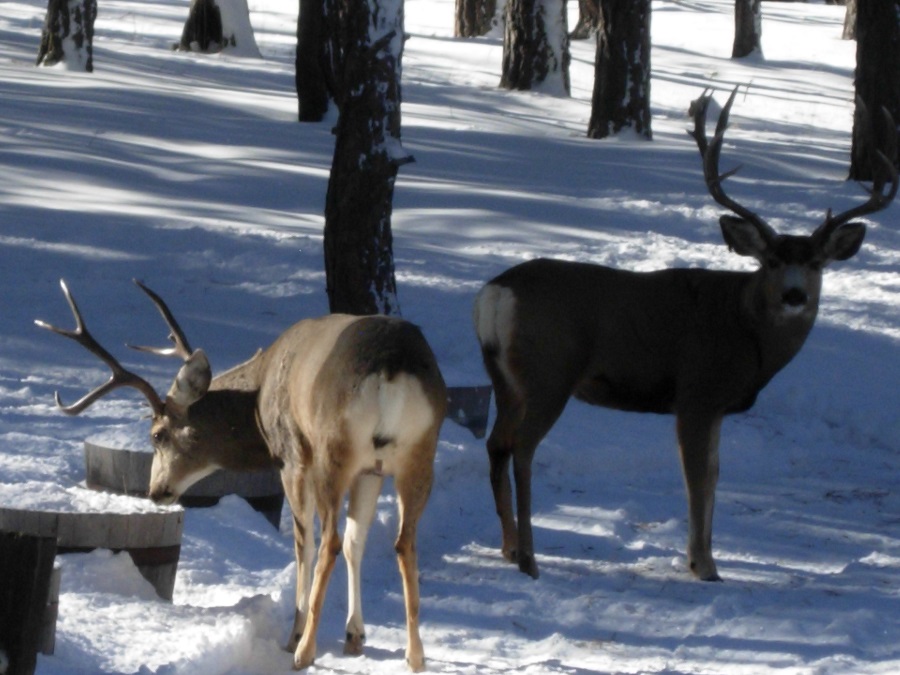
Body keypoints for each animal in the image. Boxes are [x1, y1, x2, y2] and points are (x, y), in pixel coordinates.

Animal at [36, 279, 447, 672]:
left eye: (157, 435)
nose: (156, 491)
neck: (258, 402)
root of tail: (391, 365)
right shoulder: (370, 469)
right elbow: (356, 543)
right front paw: (354, 635)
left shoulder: (293, 456)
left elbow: (305, 544)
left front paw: (296, 634)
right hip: (418, 453)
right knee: (402, 542)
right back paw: (415, 655)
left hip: (334, 450)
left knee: (327, 539)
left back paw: (305, 650)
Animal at [472, 87, 898, 582]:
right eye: (771, 260)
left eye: (816, 263)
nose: (794, 295)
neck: (744, 330)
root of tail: (496, 293)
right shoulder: (698, 392)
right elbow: (698, 476)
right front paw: (704, 566)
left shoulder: (713, 406)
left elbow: (713, 473)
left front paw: (705, 559)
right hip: (550, 372)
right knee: (522, 449)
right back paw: (529, 558)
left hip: (505, 378)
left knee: (496, 444)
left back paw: (507, 547)